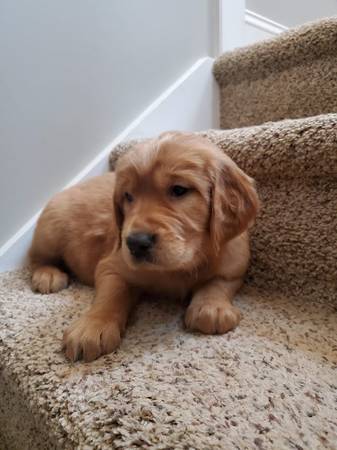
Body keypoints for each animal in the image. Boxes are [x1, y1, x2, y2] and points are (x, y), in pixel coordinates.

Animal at [29, 132, 260, 360]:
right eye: (128, 196)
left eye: (179, 190)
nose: (136, 243)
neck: (181, 265)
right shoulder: (113, 264)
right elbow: (111, 293)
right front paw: (92, 326)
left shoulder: (234, 265)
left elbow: (217, 283)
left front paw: (212, 308)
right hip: (50, 229)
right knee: (35, 257)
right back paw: (48, 275)